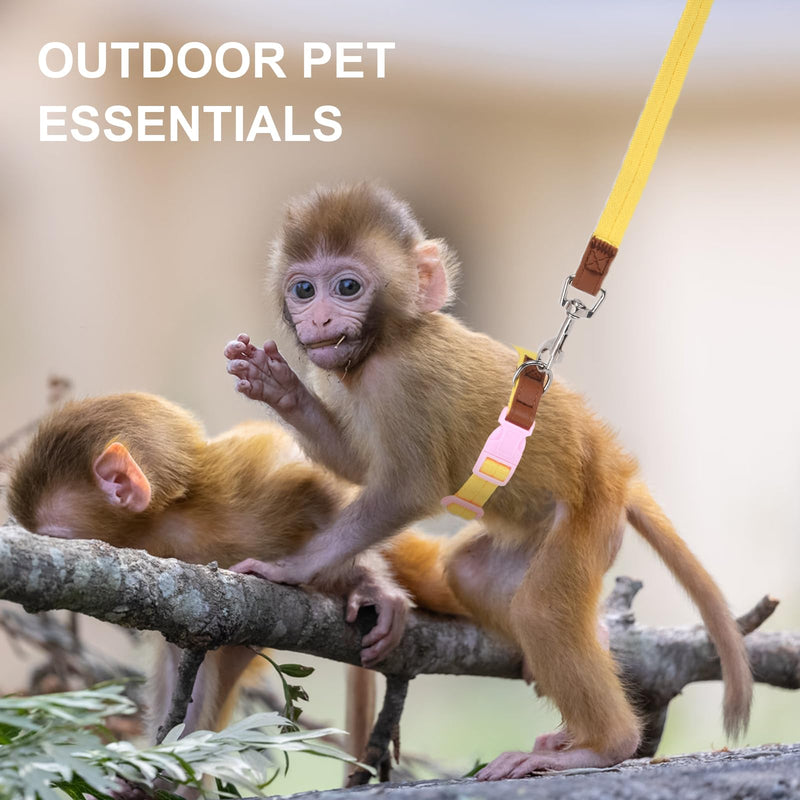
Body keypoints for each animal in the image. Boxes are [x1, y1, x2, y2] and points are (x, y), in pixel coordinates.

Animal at [224, 182, 753, 780]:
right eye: (304, 289)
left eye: (347, 286)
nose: (316, 321)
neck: (390, 340)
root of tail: (618, 469)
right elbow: (359, 466)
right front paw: (279, 388)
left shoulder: (403, 384)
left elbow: (407, 488)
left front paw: (291, 569)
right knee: (472, 574)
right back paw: (586, 664)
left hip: (589, 517)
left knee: (541, 611)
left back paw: (602, 745)